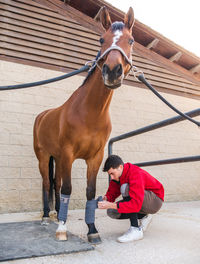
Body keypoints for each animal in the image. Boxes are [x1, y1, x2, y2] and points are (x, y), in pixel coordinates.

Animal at [33, 5, 135, 243]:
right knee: (47, 183)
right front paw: (62, 229)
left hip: (56, 158)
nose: (112, 71)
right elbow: (68, 189)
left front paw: (92, 230)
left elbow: (89, 191)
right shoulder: (68, 154)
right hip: (44, 157)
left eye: (131, 40)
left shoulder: (94, 158)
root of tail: (42, 116)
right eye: (101, 39)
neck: (90, 113)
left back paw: (54, 215)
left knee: (55, 183)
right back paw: (46, 217)